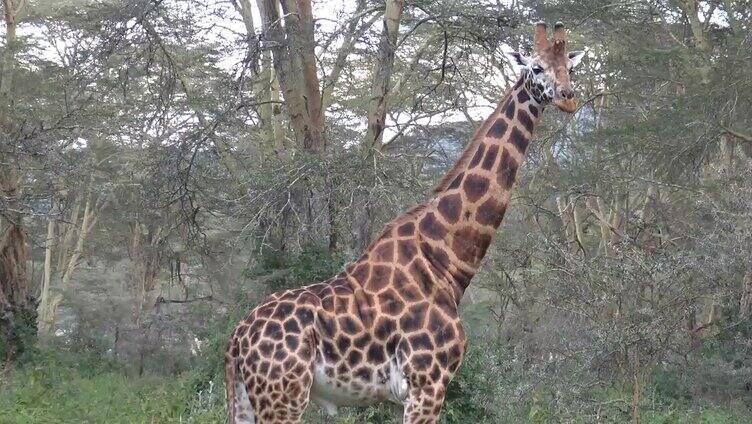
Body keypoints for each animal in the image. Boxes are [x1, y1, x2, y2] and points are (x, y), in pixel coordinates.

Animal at [225, 21, 588, 422]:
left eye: (571, 68)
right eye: (536, 67)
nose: (569, 98)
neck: (445, 259)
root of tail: (237, 341)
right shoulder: (428, 383)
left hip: (249, 400)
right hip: (283, 397)